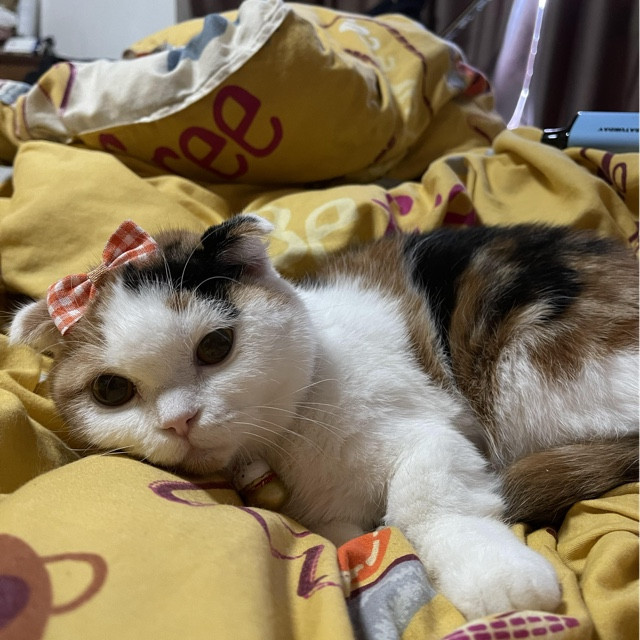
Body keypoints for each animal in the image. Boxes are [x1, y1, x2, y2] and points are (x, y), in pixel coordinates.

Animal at [9, 215, 639, 620]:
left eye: (215, 347)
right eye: (112, 389)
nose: (180, 421)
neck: (287, 440)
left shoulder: (432, 430)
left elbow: (423, 501)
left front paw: (496, 576)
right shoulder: (327, 516)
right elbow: (346, 532)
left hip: (531, 376)